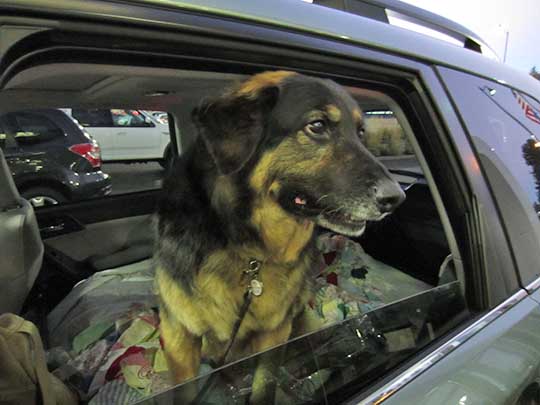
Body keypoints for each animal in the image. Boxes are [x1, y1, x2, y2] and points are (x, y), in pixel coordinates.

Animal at [154, 71, 402, 400]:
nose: (396, 198)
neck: (247, 248)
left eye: (361, 133)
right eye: (317, 126)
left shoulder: (275, 333)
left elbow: (265, 385)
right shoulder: (179, 335)